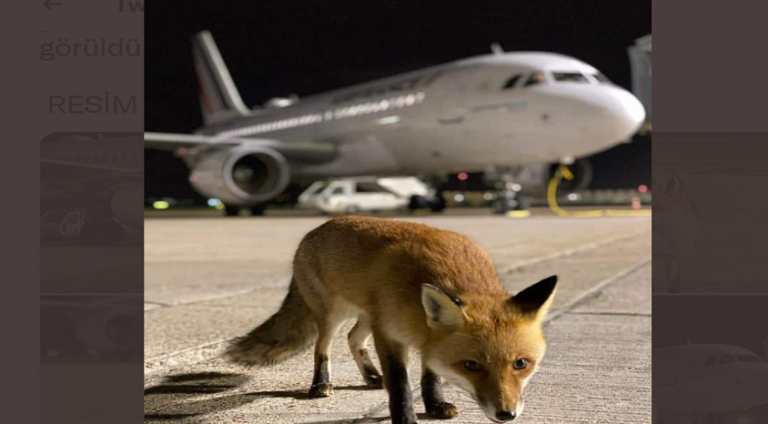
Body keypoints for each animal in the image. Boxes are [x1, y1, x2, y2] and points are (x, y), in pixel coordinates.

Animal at [226, 216, 557, 423]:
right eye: (471, 365)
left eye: (521, 364)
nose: (506, 415)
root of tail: (317, 228)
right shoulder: (389, 333)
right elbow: (400, 385)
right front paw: (406, 418)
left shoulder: (424, 337)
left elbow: (430, 375)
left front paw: (434, 405)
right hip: (334, 314)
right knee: (323, 347)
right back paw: (321, 384)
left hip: (367, 315)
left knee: (354, 338)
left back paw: (372, 377)